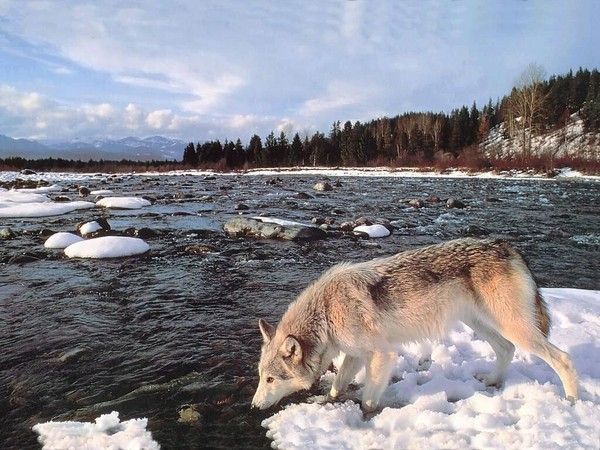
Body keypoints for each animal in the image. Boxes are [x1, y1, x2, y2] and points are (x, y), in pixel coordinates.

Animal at [251, 239, 580, 412]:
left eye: (270, 379)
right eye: (261, 377)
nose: (253, 406)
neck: (326, 312)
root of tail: (509, 248)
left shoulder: (382, 354)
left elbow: (368, 399)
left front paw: (366, 417)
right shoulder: (355, 355)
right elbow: (336, 386)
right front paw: (327, 402)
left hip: (516, 329)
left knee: (563, 358)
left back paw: (572, 401)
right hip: (482, 325)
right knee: (507, 350)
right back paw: (491, 382)